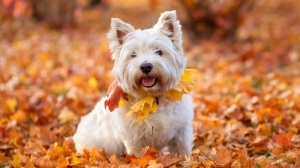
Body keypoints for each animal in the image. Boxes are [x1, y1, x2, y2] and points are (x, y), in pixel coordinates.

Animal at [74, 10, 193, 158]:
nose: (146, 66)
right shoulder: (134, 139)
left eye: (159, 52)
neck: (153, 98)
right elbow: (139, 156)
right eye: (133, 55)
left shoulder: (182, 131)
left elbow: (183, 151)